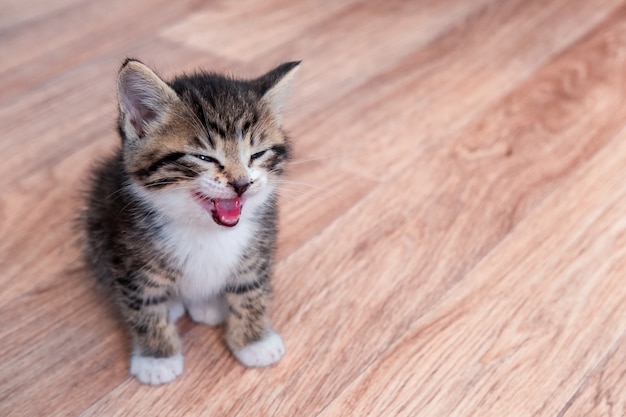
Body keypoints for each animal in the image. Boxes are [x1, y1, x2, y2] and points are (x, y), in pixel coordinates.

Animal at [81, 57, 302, 384]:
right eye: (204, 157)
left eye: (257, 154)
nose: (241, 184)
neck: (203, 228)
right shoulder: (126, 251)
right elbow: (144, 303)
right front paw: (157, 357)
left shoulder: (259, 243)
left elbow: (251, 287)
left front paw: (254, 340)